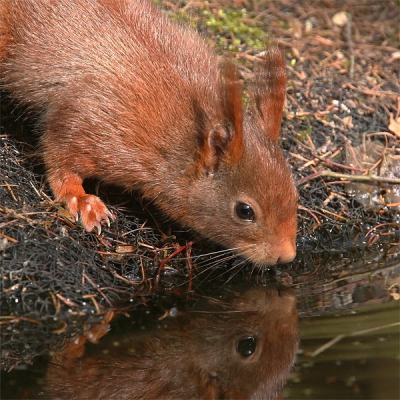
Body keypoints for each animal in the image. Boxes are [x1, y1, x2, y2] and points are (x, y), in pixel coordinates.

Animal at [0, 1, 298, 268]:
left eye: (295, 193)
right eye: (244, 211)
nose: (286, 256)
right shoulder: (95, 121)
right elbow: (60, 154)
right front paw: (82, 201)